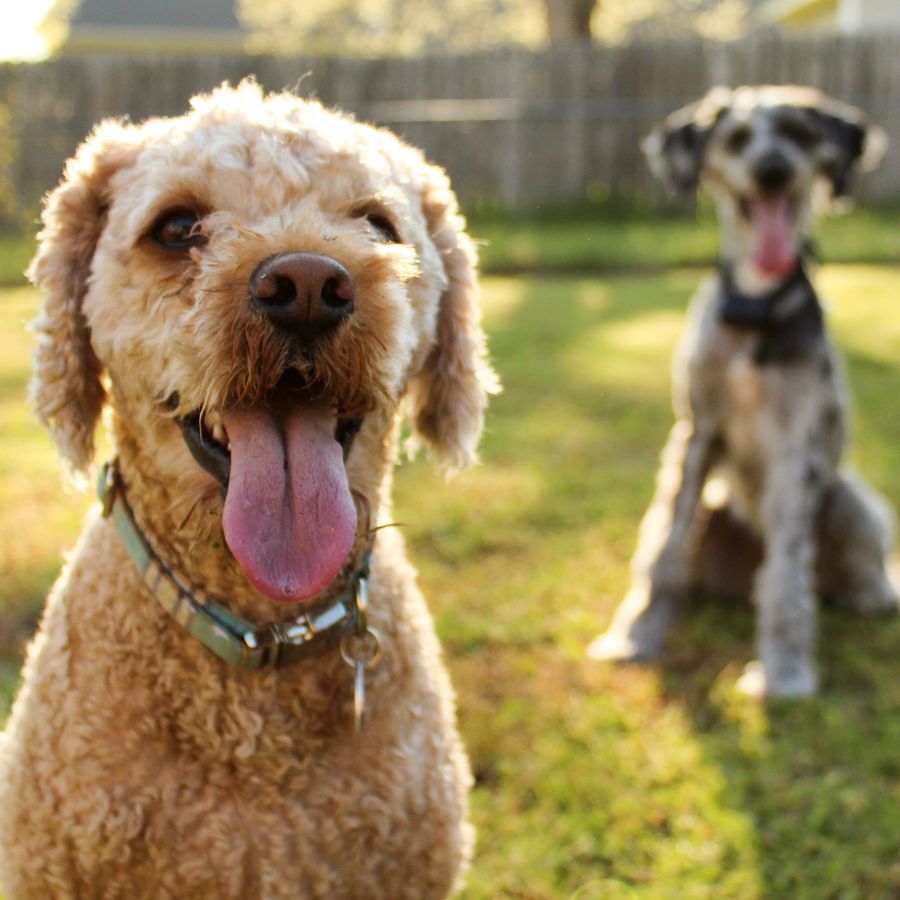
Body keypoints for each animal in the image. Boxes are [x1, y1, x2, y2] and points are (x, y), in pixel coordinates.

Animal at [588, 86, 896, 696]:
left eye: (799, 133)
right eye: (735, 139)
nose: (772, 170)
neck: (756, 306)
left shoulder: (796, 449)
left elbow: (785, 572)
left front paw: (784, 673)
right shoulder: (695, 433)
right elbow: (663, 547)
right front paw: (634, 636)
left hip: (850, 501)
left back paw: (870, 596)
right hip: (716, 510)